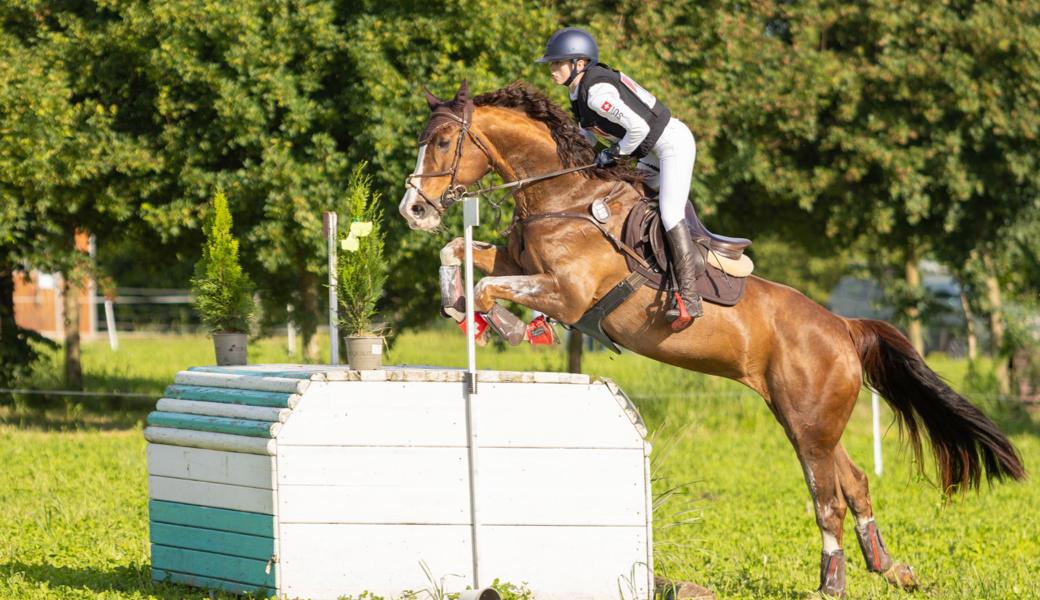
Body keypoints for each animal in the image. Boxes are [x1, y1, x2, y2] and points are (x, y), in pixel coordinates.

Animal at [397, 80, 1026, 598]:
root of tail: (844, 327)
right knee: (854, 484)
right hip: (806, 419)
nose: (413, 209)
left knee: (827, 499)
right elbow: (458, 254)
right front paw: (461, 307)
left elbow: (490, 287)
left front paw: (504, 325)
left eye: (445, 141)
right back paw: (891, 569)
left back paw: (832, 584)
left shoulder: (568, 293)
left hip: (808, 423)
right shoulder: (517, 262)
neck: (562, 197)